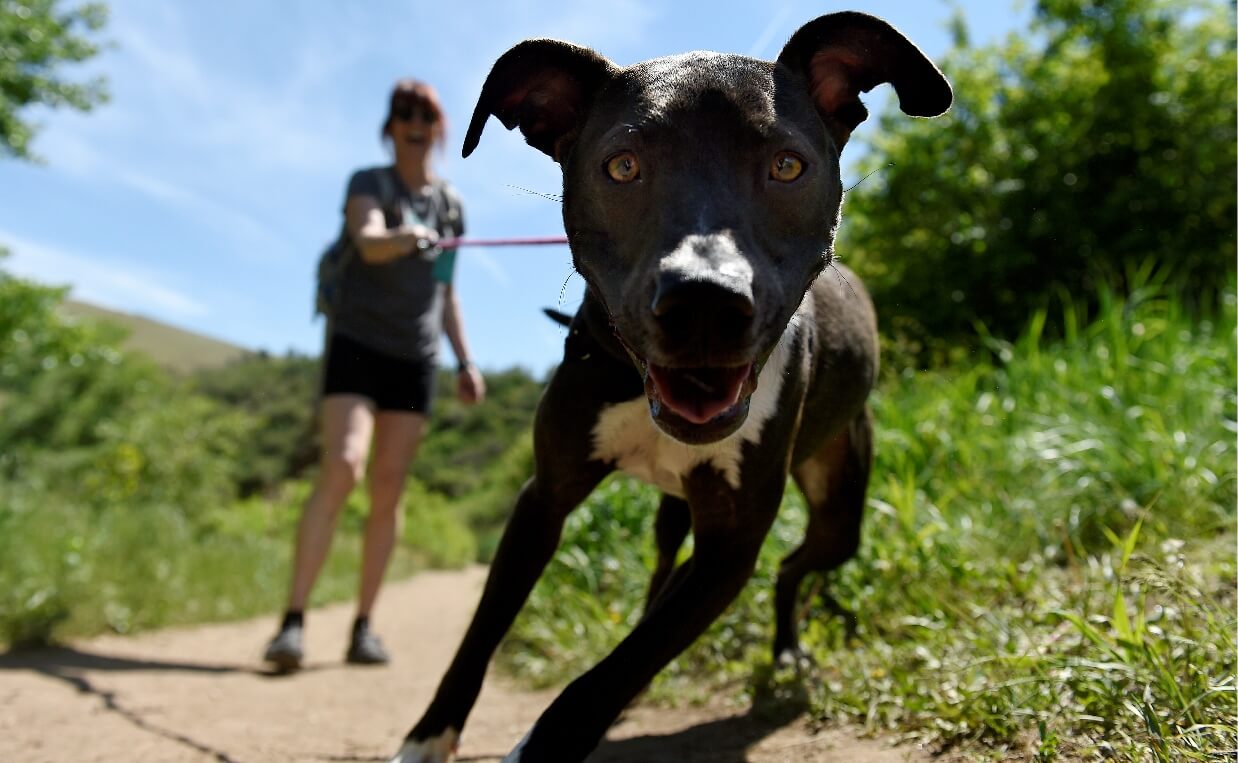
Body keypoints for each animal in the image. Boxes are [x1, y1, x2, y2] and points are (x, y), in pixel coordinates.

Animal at [393, 10, 945, 758]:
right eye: (622, 166)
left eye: (787, 165)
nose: (705, 304)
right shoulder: (544, 499)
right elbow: (483, 628)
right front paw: (429, 733)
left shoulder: (730, 547)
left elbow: (610, 673)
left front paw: (546, 741)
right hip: (675, 512)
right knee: (664, 569)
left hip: (840, 512)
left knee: (789, 568)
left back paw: (787, 651)